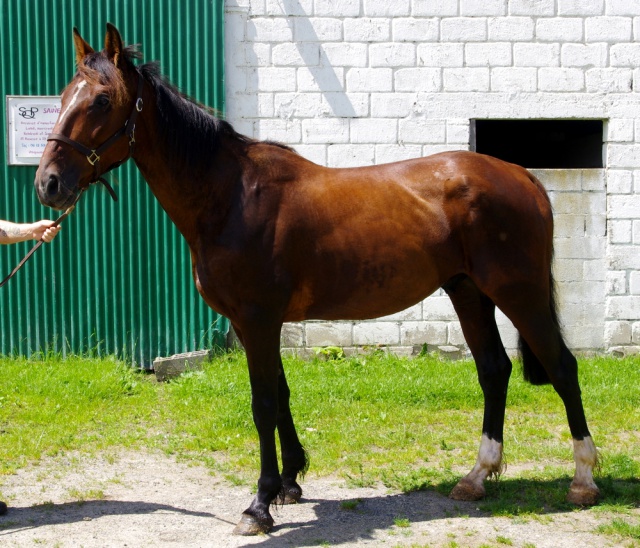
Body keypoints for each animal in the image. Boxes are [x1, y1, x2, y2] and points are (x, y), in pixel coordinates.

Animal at [33, 25, 600, 536]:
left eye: (102, 100)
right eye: (62, 96)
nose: (49, 184)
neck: (230, 195)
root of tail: (522, 175)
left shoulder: (258, 320)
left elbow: (263, 403)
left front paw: (259, 505)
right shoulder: (254, 325)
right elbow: (281, 394)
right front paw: (289, 482)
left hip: (518, 291)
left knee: (562, 367)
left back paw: (583, 481)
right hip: (468, 291)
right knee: (493, 371)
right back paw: (477, 476)